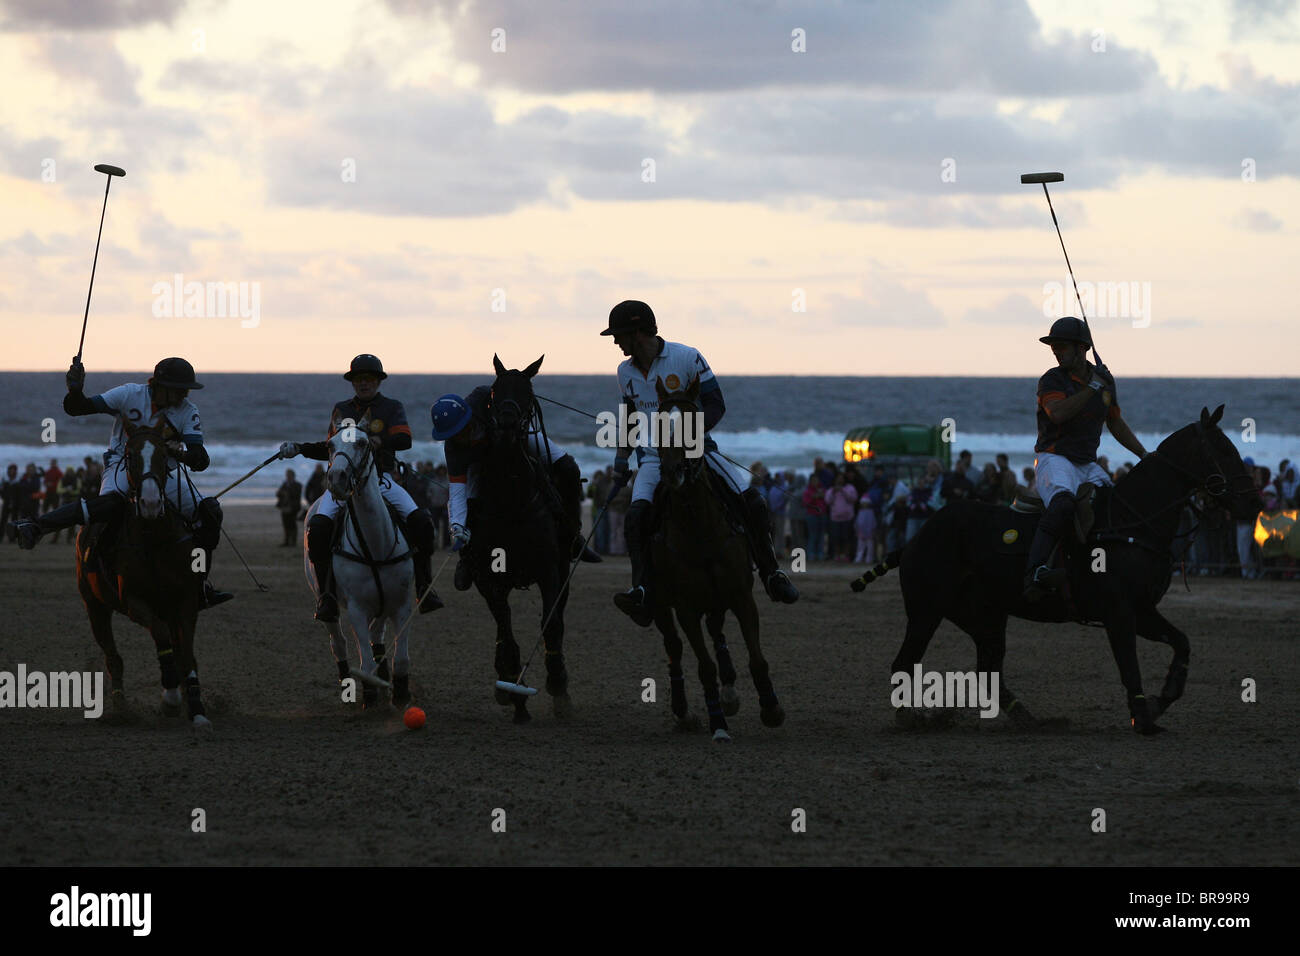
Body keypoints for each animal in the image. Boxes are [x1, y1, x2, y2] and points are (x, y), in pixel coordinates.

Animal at [75, 421, 210, 728]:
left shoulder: (186, 600)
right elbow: (160, 635)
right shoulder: (134, 601)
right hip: (94, 605)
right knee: (113, 658)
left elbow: (187, 654)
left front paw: (197, 710)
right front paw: (170, 698)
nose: (149, 503)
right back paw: (121, 709)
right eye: (131, 456)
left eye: (163, 455)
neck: (154, 539)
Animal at [301, 416, 413, 707]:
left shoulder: (402, 605)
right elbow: (365, 663)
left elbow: (401, 656)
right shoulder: (357, 609)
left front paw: (400, 691)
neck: (376, 545)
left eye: (363, 443)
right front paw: (370, 694)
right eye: (330, 445)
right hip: (322, 596)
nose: (336, 479)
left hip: (383, 605)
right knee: (338, 642)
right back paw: (347, 682)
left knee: (377, 636)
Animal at [467, 356, 569, 723]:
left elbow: (551, 624)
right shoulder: (488, 577)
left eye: (527, 392)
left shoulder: (550, 571)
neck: (512, 497)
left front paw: (557, 683)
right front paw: (516, 696)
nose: (509, 425)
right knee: (502, 628)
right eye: (495, 391)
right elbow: (507, 635)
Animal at [650, 377, 780, 743]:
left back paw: (731, 690)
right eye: (659, 424)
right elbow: (704, 666)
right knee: (674, 646)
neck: (699, 529)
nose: (673, 473)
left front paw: (771, 708)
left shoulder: (741, 596)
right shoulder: (685, 607)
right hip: (662, 605)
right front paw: (718, 723)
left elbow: (757, 659)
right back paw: (684, 711)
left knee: (717, 630)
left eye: (693, 423)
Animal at [852, 408, 1258, 738]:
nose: (1251, 503)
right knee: (906, 661)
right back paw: (910, 718)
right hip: (927, 609)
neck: (1132, 521)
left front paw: (1158, 704)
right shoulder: (1119, 612)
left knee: (988, 668)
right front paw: (1142, 716)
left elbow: (1182, 643)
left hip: (984, 616)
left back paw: (1029, 719)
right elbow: (1129, 665)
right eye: (1224, 449)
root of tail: (914, 539)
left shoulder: (1143, 610)